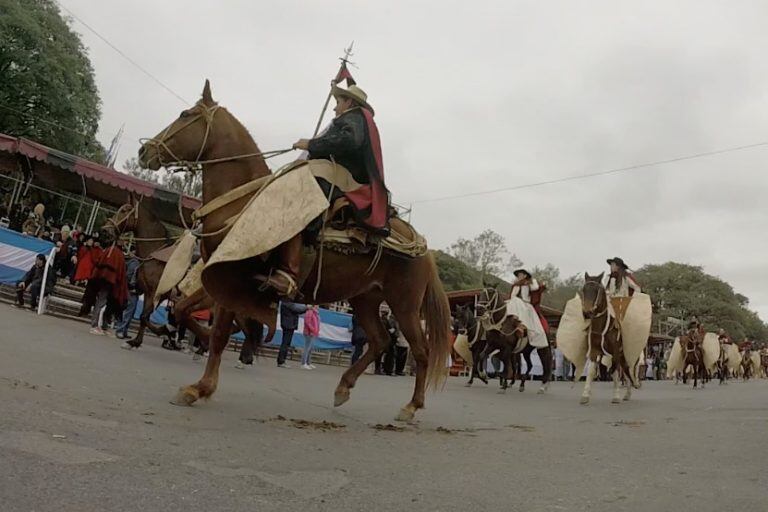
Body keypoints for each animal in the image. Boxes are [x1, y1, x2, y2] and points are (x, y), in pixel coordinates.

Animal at [139, 82, 452, 422]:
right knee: (380, 340)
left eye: (186, 114)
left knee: (421, 351)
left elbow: (220, 332)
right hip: (365, 299)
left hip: (404, 305)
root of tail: (423, 248)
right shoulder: (220, 279)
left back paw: (410, 406)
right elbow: (185, 311)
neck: (242, 203)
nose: (145, 151)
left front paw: (199, 387)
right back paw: (343, 387)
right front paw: (207, 346)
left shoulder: (231, 277)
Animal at [580, 274, 632, 406]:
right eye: (584, 290)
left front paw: (616, 396)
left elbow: (615, 372)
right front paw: (585, 395)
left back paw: (628, 392)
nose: (587, 312)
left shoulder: (615, 352)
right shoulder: (594, 350)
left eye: (597, 290)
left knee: (627, 370)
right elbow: (591, 371)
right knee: (625, 371)